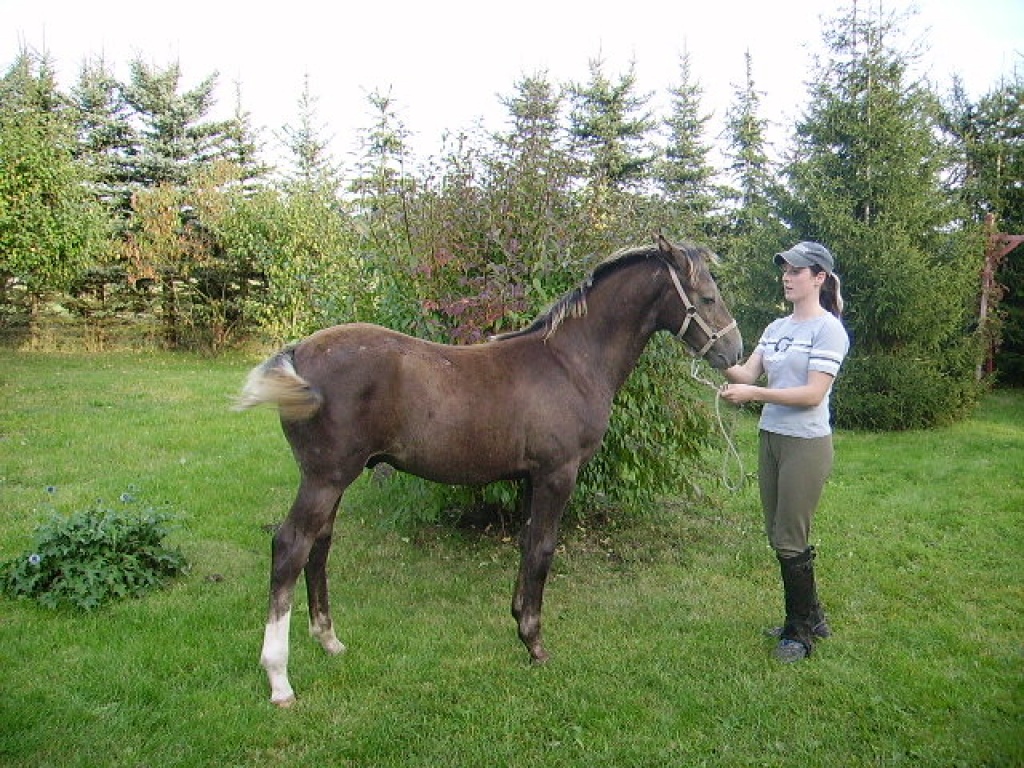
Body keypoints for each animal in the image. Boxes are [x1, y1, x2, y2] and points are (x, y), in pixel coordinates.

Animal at [234, 234, 742, 706]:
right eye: (707, 297)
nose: (734, 352)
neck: (569, 362)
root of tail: (297, 352)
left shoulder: (529, 478)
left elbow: (526, 544)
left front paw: (520, 623)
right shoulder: (557, 473)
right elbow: (543, 548)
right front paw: (535, 645)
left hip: (335, 479)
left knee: (318, 546)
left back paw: (329, 641)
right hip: (325, 479)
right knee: (290, 547)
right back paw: (279, 679)